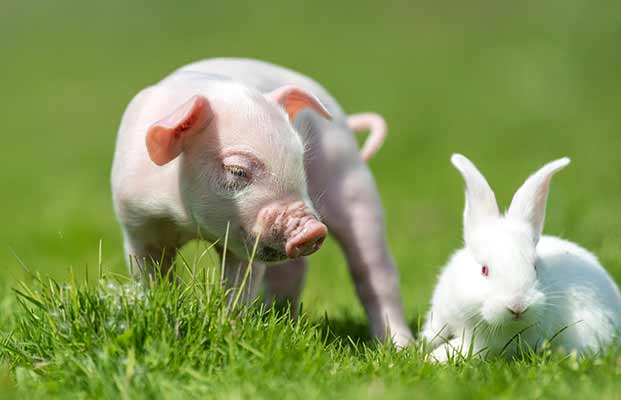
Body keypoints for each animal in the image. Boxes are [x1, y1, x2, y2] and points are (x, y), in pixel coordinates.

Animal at [422, 154, 620, 362]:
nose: (518, 306)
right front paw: (422, 347)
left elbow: (461, 348)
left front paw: (432, 358)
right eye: (484, 270)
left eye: (535, 268)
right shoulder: (441, 313)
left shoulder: (483, 344)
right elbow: (434, 332)